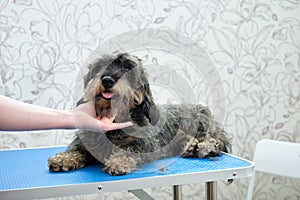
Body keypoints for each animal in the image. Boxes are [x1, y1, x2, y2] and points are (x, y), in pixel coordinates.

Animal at [48, 52, 230, 175]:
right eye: (100, 66)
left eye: (128, 68)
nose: (107, 80)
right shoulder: (86, 140)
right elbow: (76, 149)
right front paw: (63, 158)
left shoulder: (145, 143)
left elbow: (130, 150)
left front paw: (119, 161)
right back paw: (190, 147)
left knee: (214, 140)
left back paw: (205, 147)